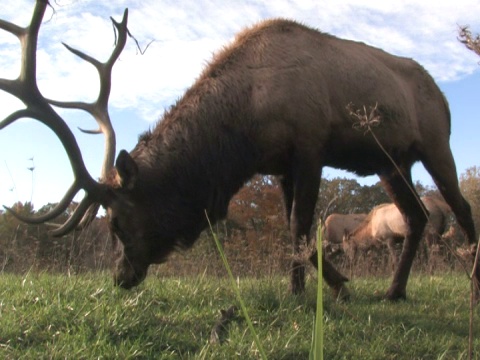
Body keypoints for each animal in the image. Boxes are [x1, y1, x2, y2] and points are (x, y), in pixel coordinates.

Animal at [1, 0, 478, 300]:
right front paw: (319, 288)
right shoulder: (283, 163)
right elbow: (295, 228)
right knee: (416, 216)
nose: (120, 278)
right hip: (390, 162)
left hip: (436, 142)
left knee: (461, 207)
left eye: (118, 222)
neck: (246, 129)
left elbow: (299, 224)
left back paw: (470, 282)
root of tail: (443, 96)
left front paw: (318, 289)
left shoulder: (310, 145)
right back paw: (395, 290)